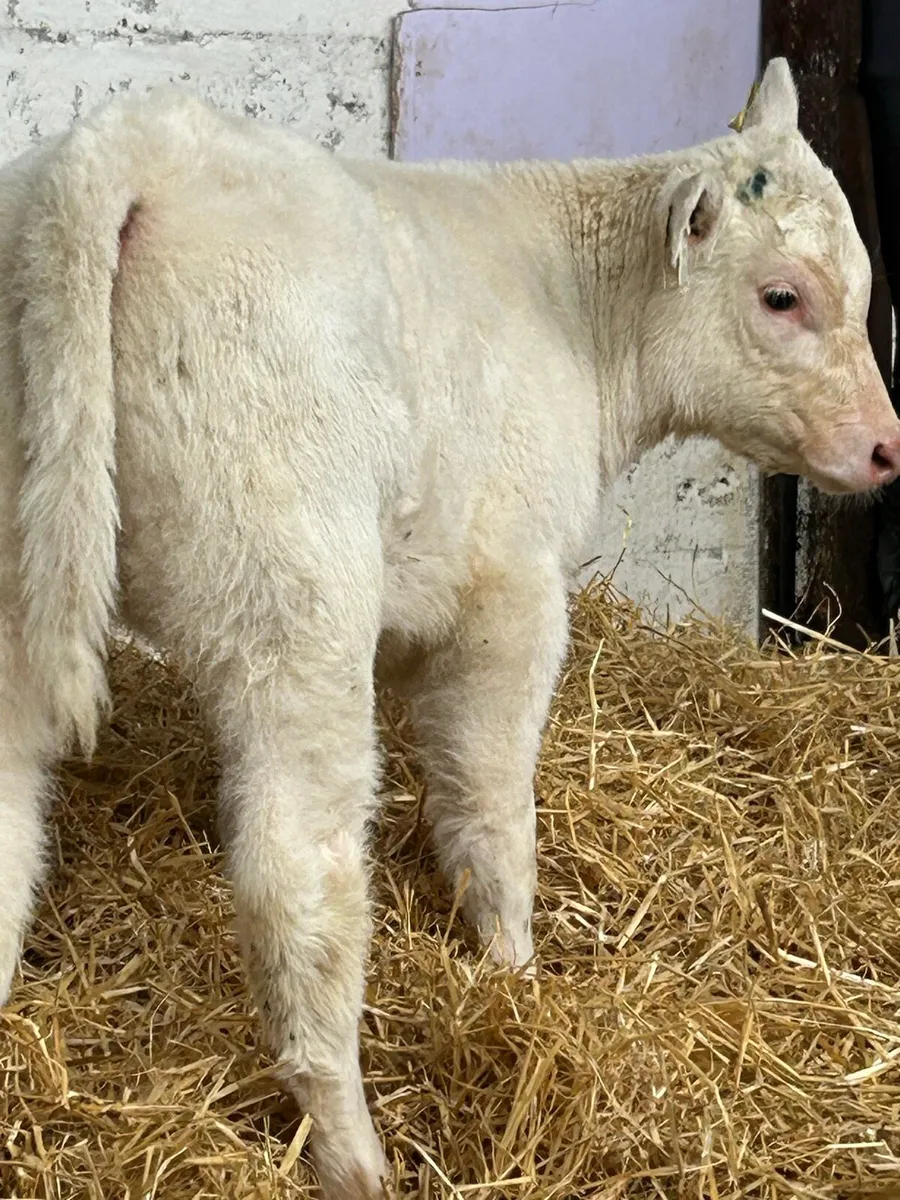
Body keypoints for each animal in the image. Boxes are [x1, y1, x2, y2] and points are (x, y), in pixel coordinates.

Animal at [0, 57, 896, 1197]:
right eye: (783, 296)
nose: (886, 446)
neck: (579, 313)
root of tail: (130, 144)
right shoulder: (509, 590)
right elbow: (490, 803)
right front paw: (513, 971)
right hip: (293, 603)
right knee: (300, 877)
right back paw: (353, 1152)